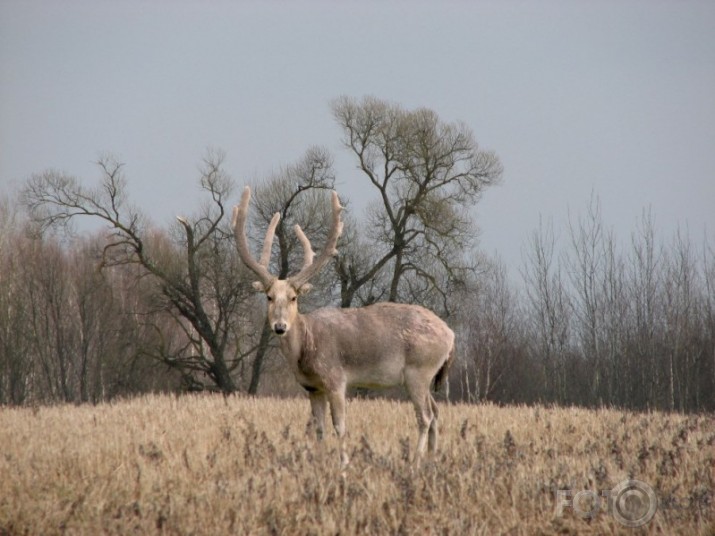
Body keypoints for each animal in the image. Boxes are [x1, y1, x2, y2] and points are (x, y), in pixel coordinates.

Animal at [231, 185, 454, 464]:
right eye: (269, 297)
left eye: (293, 297)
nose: (280, 326)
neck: (307, 349)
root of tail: (451, 335)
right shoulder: (312, 387)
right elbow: (318, 428)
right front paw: (318, 461)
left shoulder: (336, 378)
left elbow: (340, 426)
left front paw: (344, 463)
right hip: (427, 376)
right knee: (436, 412)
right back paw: (432, 458)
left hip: (419, 370)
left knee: (425, 416)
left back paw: (415, 460)